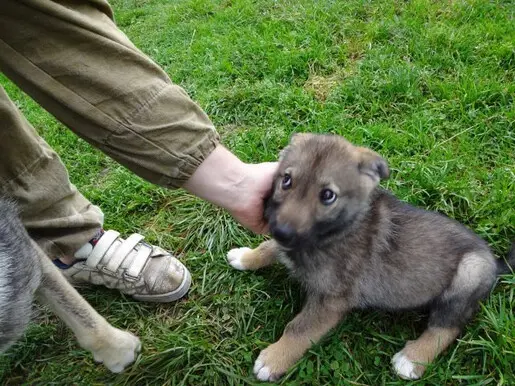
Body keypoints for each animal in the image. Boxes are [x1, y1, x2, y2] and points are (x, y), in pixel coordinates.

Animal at [228, 133, 512, 380]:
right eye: (286, 180)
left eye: (328, 195)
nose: (281, 232)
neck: (337, 231)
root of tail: (496, 263)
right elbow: (269, 248)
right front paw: (246, 257)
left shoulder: (331, 301)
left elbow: (299, 328)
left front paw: (273, 359)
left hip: (468, 273)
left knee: (448, 327)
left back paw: (412, 359)